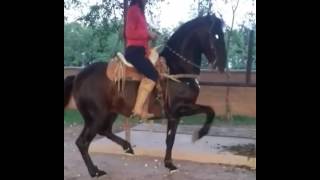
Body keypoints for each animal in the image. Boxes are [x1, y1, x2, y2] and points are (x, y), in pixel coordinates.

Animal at [63, 14, 226, 177]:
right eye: (215, 35)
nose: (222, 65)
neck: (177, 70)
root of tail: (78, 77)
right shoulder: (179, 109)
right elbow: (210, 110)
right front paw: (200, 134)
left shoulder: (175, 116)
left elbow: (170, 139)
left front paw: (169, 164)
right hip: (97, 116)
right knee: (83, 142)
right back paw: (94, 171)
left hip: (107, 113)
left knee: (104, 131)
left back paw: (126, 148)